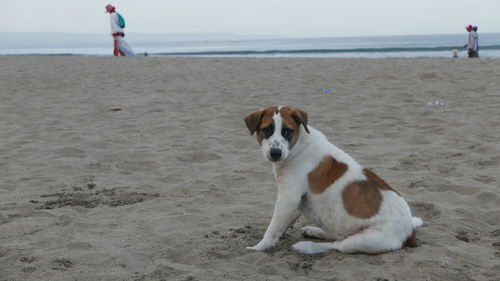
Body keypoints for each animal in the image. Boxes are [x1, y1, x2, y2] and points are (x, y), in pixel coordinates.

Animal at [242, 105, 422, 254]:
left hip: (366, 240)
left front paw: (259, 247)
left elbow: (272, 228)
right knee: (336, 236)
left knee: (336, 245)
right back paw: (315, 231)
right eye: (267, 130)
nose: (275, 153)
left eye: (287, 131)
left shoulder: (288, 198)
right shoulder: (294, 202)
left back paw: (307, 246)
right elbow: (282, 225)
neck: (299, 146)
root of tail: (410, 232)